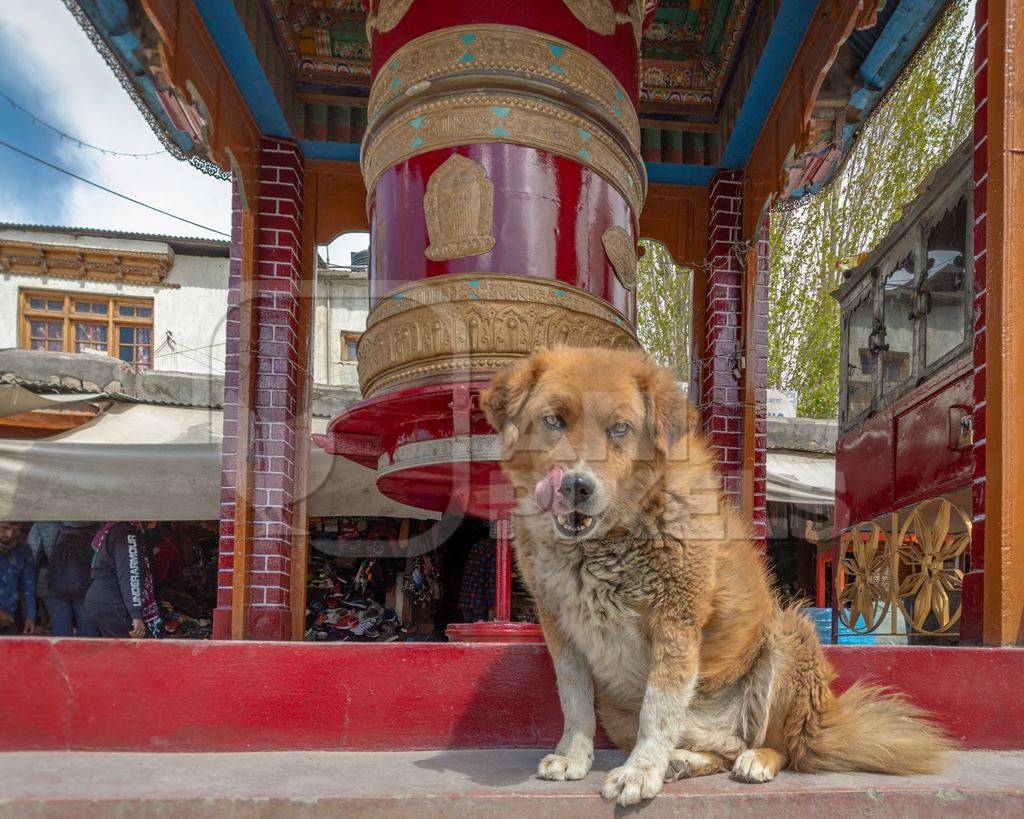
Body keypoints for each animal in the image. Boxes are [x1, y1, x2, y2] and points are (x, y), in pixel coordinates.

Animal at [483, 346, 946, 806]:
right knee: (723, 748)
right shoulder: (560, 628)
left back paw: (755, 760)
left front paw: (639, 771)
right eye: (553, 420)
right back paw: (684, 761)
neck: (605, 541)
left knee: (782, 747)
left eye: (620, 429)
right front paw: (574, 757)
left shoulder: (675, 620)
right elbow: (575, 699)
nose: (576, 486)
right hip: (618, 710)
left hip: (789, 635)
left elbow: (658, 709)